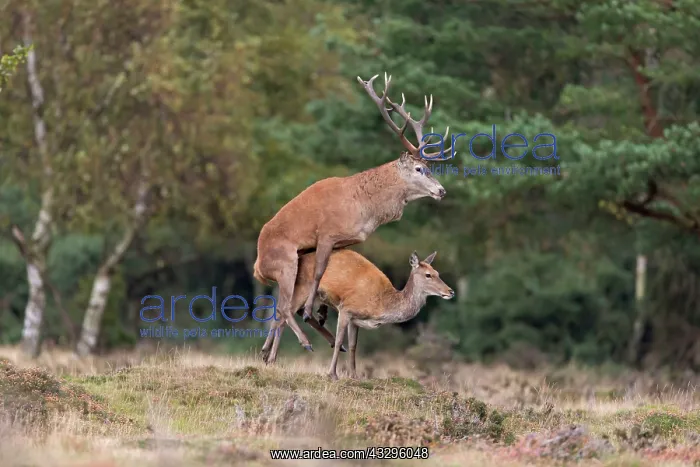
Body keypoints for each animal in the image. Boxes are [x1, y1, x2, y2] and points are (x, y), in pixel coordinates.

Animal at [253, 72, 455, 362]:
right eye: (419, 169)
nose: (441, 190)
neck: (363, 208)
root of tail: (258, 267)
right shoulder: (327, 232)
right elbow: (319, 271)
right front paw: (313, 312)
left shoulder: (348, 240)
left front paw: (321, 312)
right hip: (285, 261)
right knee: (283, 306)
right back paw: (303, 341)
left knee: (279, 308)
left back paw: (269, 351)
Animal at [264, 249, 454, 379]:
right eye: (428, 275)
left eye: (438, 273)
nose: (450, 291)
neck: (381, 305)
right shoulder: (346, 308)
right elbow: (340, 339)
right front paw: (332, 374)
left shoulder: (356, 320)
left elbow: (354, 345)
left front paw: (354, 375)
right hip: (302, 287)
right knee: (285, 312)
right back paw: (282, 354)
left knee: (284, 313)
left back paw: (266, 354)